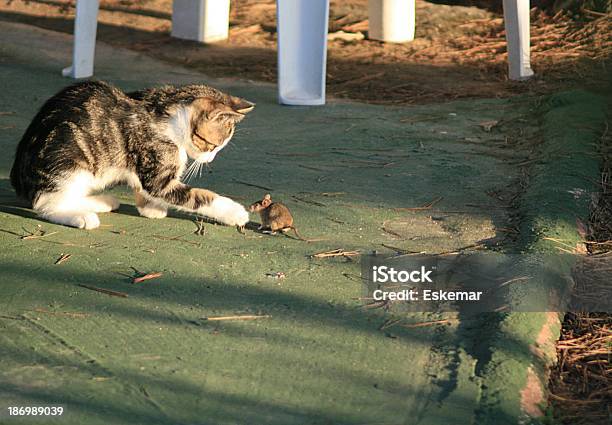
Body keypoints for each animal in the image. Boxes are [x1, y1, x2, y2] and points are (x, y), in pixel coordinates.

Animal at [9, 81, 253, 230]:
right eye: (212, 145)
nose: (210, 160)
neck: (170, 117)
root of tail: (19, 180)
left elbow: (140, 183)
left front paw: (150, 207)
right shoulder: (158, 171)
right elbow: (197, 196)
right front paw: (235, 212)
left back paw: (100, 201)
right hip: (67, 157)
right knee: (45, 203)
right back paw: (81, 216)